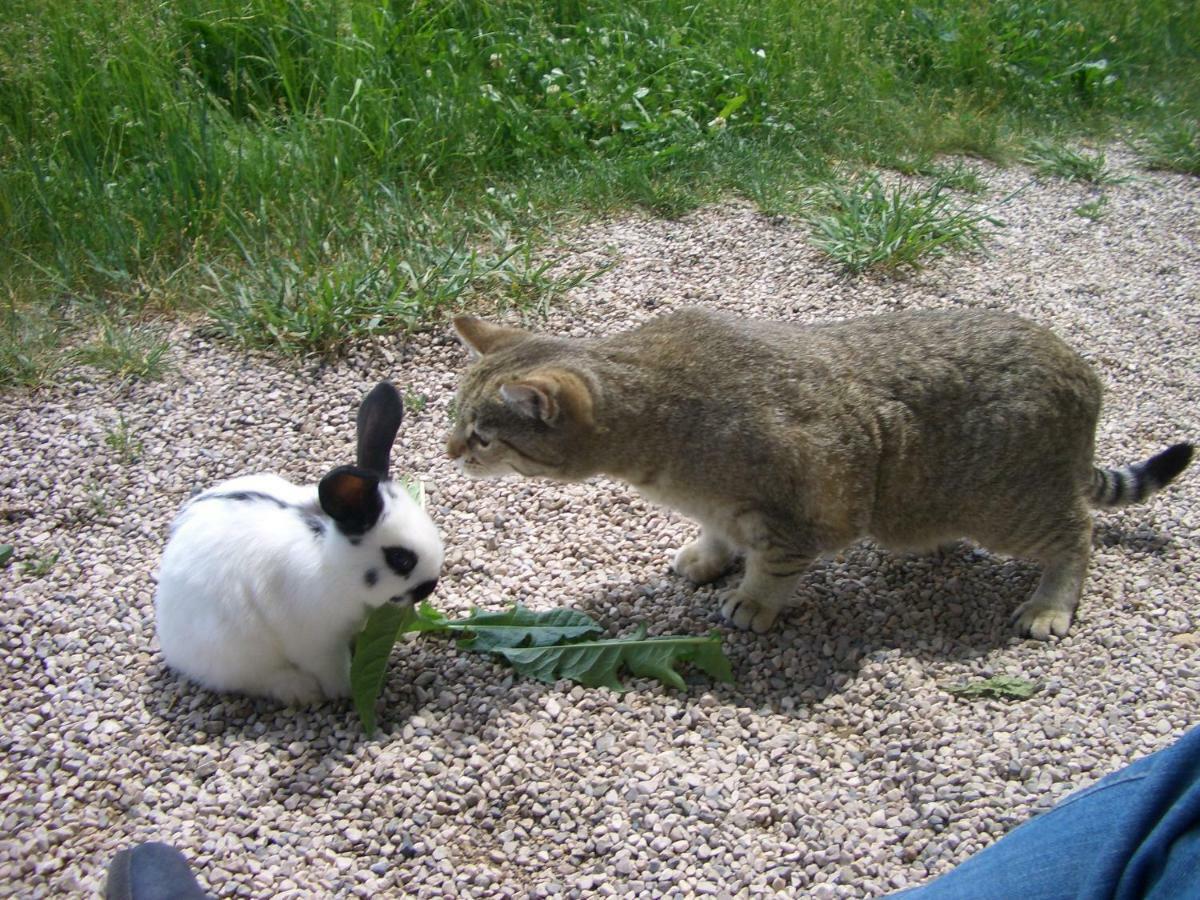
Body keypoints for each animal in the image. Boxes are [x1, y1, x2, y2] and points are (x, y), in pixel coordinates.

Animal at [153, 381, 446, 705]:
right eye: (400, 559)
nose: (429, 587)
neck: (332, 562)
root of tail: (170, 641)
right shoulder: (316, 641)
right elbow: (331, 667)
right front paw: (344, 690)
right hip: (235, 650)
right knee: (255, 679)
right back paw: (301, 690)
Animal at [448, 309, 1190, 643]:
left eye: (484, 435)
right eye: (455, 415)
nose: (450, 449)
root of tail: (1082, 371)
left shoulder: (805, 503)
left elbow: (773, 566)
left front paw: (753, 599)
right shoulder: (726, 508)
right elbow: (719, 533)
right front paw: (708, 557)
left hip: (1008, 506)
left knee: (1078, 533)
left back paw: (1050, 603)